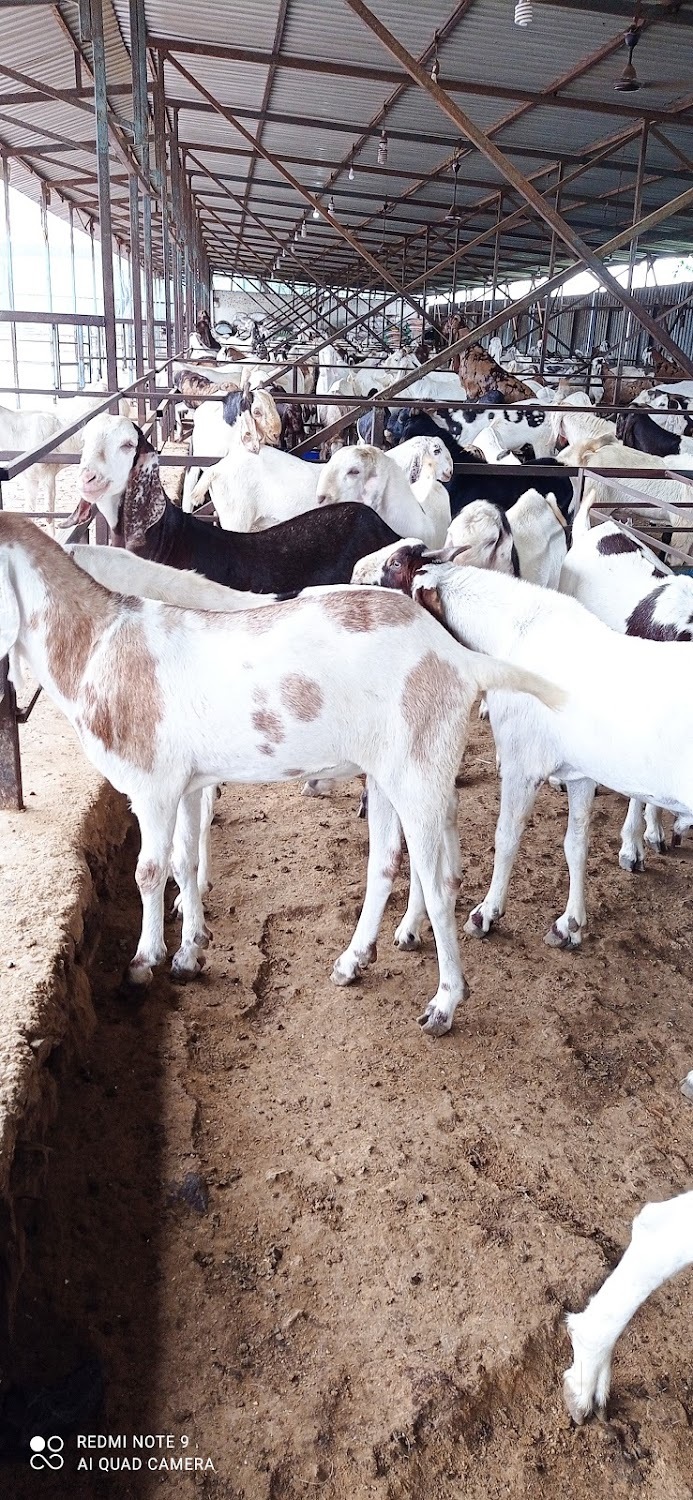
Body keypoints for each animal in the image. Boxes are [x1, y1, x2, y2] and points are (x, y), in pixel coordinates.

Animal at [0, 513, 562, 1035]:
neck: (98, 647)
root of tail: (458, 658)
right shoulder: (186, 783)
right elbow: (183, 861)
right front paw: (189, 952)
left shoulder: (152, 787)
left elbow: (148, 871)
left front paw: (143, 964)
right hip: (391, 772)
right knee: (386, 862)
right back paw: (353, 961)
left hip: (419, 770)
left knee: (438, 878)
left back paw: (444, 1002)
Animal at [353, 545, 693, 951]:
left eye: (394, 565)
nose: (354, 574)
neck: (513, 630)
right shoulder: (580, 773)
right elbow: (576, 843)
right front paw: (569, 924)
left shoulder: (521, 762)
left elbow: (507, 837)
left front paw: (486, 914)